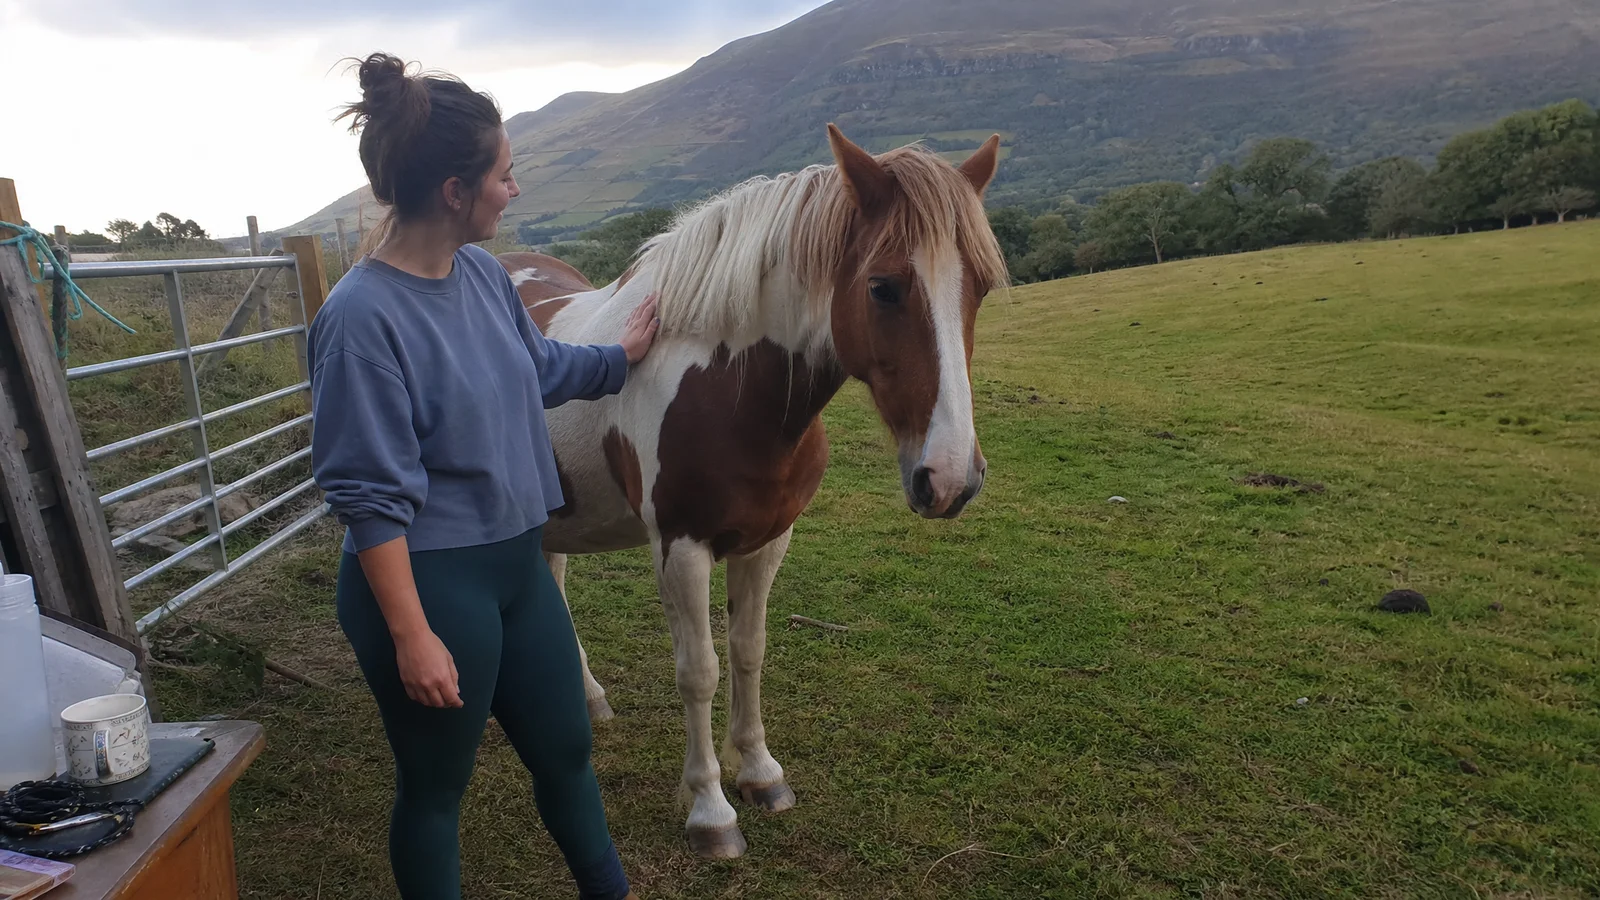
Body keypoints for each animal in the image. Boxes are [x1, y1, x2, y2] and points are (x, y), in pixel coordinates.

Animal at [494, 124, 1009, 859]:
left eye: (982, 287)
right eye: (883, 287)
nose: (950, 477)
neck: (729, 384)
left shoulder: (767, 540)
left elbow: (748, 650)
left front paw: (762, 774)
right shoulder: (680, 548)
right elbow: (699, 670)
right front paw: (711, 809)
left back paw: (586, 698)